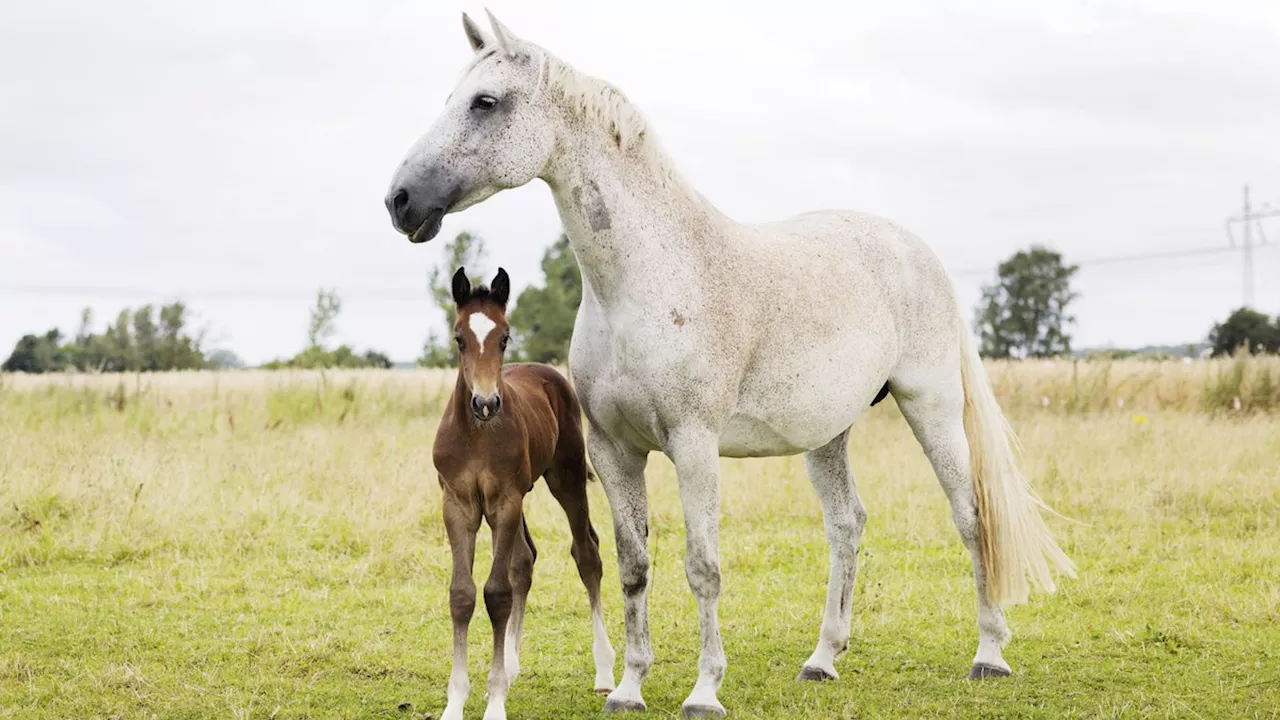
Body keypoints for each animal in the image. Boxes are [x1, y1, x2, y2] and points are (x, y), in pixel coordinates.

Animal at [435, 266, 614, 712]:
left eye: (504, 337)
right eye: (459, 338)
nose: (485, 403)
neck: (477, 434)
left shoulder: (504, 501)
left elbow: (496, 593)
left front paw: (495, 705)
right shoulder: (458, 505)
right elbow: (462, 594)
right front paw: (456, 703)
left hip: (565, 478)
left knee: (587, 554)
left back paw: (605, 672)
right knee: (524, 560)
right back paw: (511, 665)